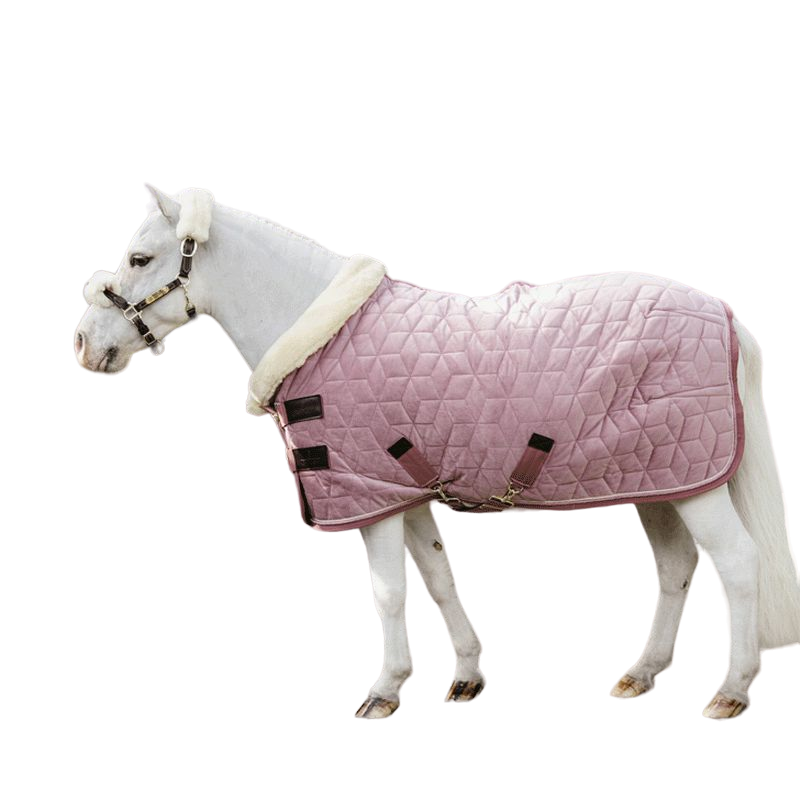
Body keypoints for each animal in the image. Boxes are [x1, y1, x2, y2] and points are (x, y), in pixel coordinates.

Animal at [74, 185, 800, 721]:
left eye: (140, 259)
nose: (85, 344)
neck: (325, 335)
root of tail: (725, 317)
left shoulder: (369, 497)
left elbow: (388, 593)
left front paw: (385, 691)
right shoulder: (406, 493)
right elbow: (440, 578)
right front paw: (466, 676)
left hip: (697, 485)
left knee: (738, 564)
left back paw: (731, 691)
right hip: (658, 478)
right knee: (677, 567)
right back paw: (641, 674)